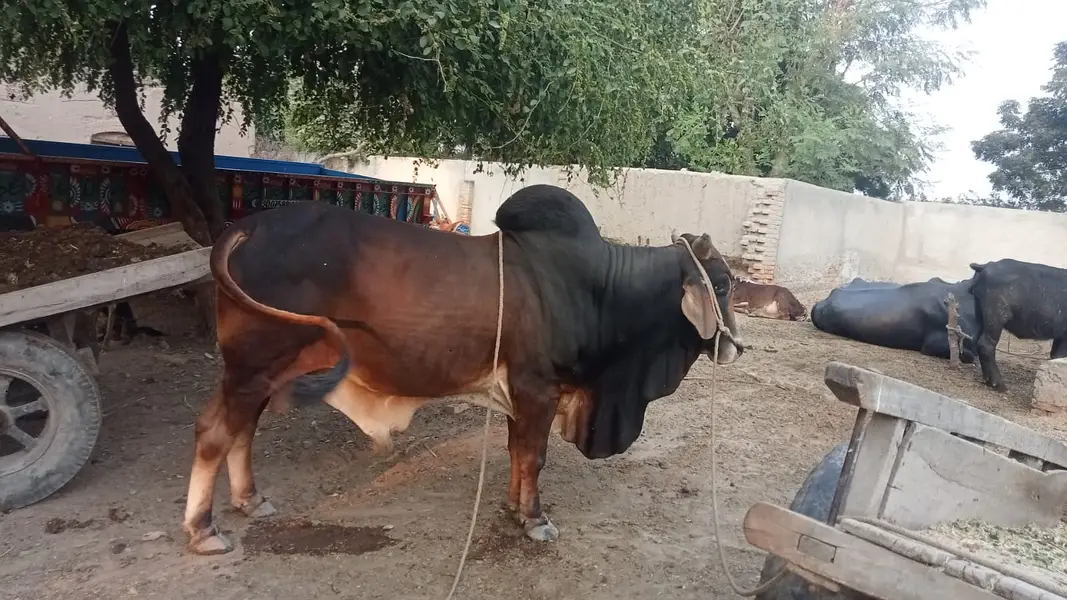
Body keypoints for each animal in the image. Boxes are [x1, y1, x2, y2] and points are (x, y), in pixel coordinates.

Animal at [180, 184, 745, 555]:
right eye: (721, 284)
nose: (736, 348)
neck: (600, 290)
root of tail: (248, 226)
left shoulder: (522, 392)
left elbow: (518, 454)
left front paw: (515, 509)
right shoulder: (539, 388)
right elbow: (535, 457)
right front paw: (536, 520)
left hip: (264, 371)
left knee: (242, 432)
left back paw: (251, 501)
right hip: (252, 365)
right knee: (213, 432)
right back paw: (205, 530)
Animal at [969, 259, 1067, 391]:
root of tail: (987, 265)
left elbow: (1055, 355)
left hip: (980, 312)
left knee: (975, 338)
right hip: (996, 314)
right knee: (986, 345)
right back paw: (1001, 387)